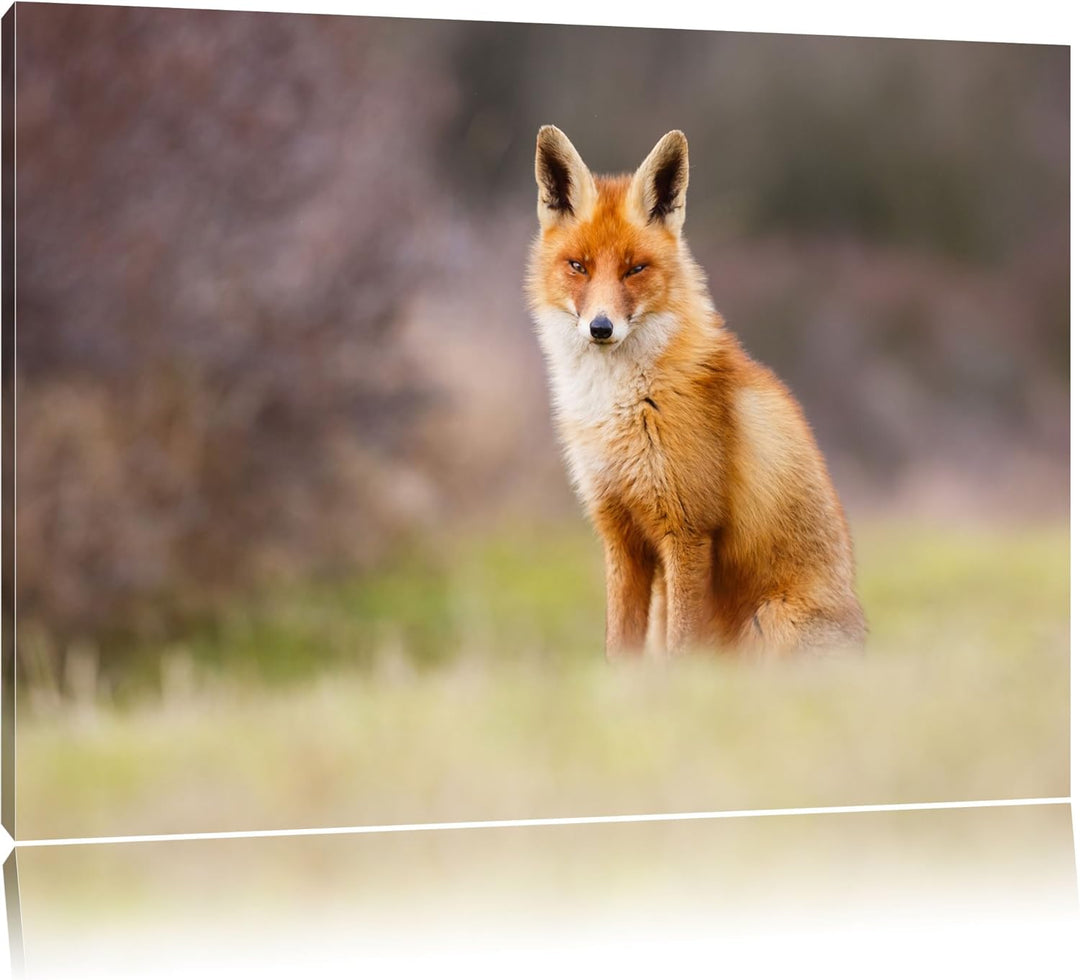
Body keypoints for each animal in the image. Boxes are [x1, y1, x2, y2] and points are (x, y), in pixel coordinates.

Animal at [526, 125, 866, 659]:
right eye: (578, 266)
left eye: (635, 269)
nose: (601, 328)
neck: (621, 407)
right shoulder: (620, 532)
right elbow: (619, 649)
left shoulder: (687, 531)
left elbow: (680, 651)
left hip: (770, 620)